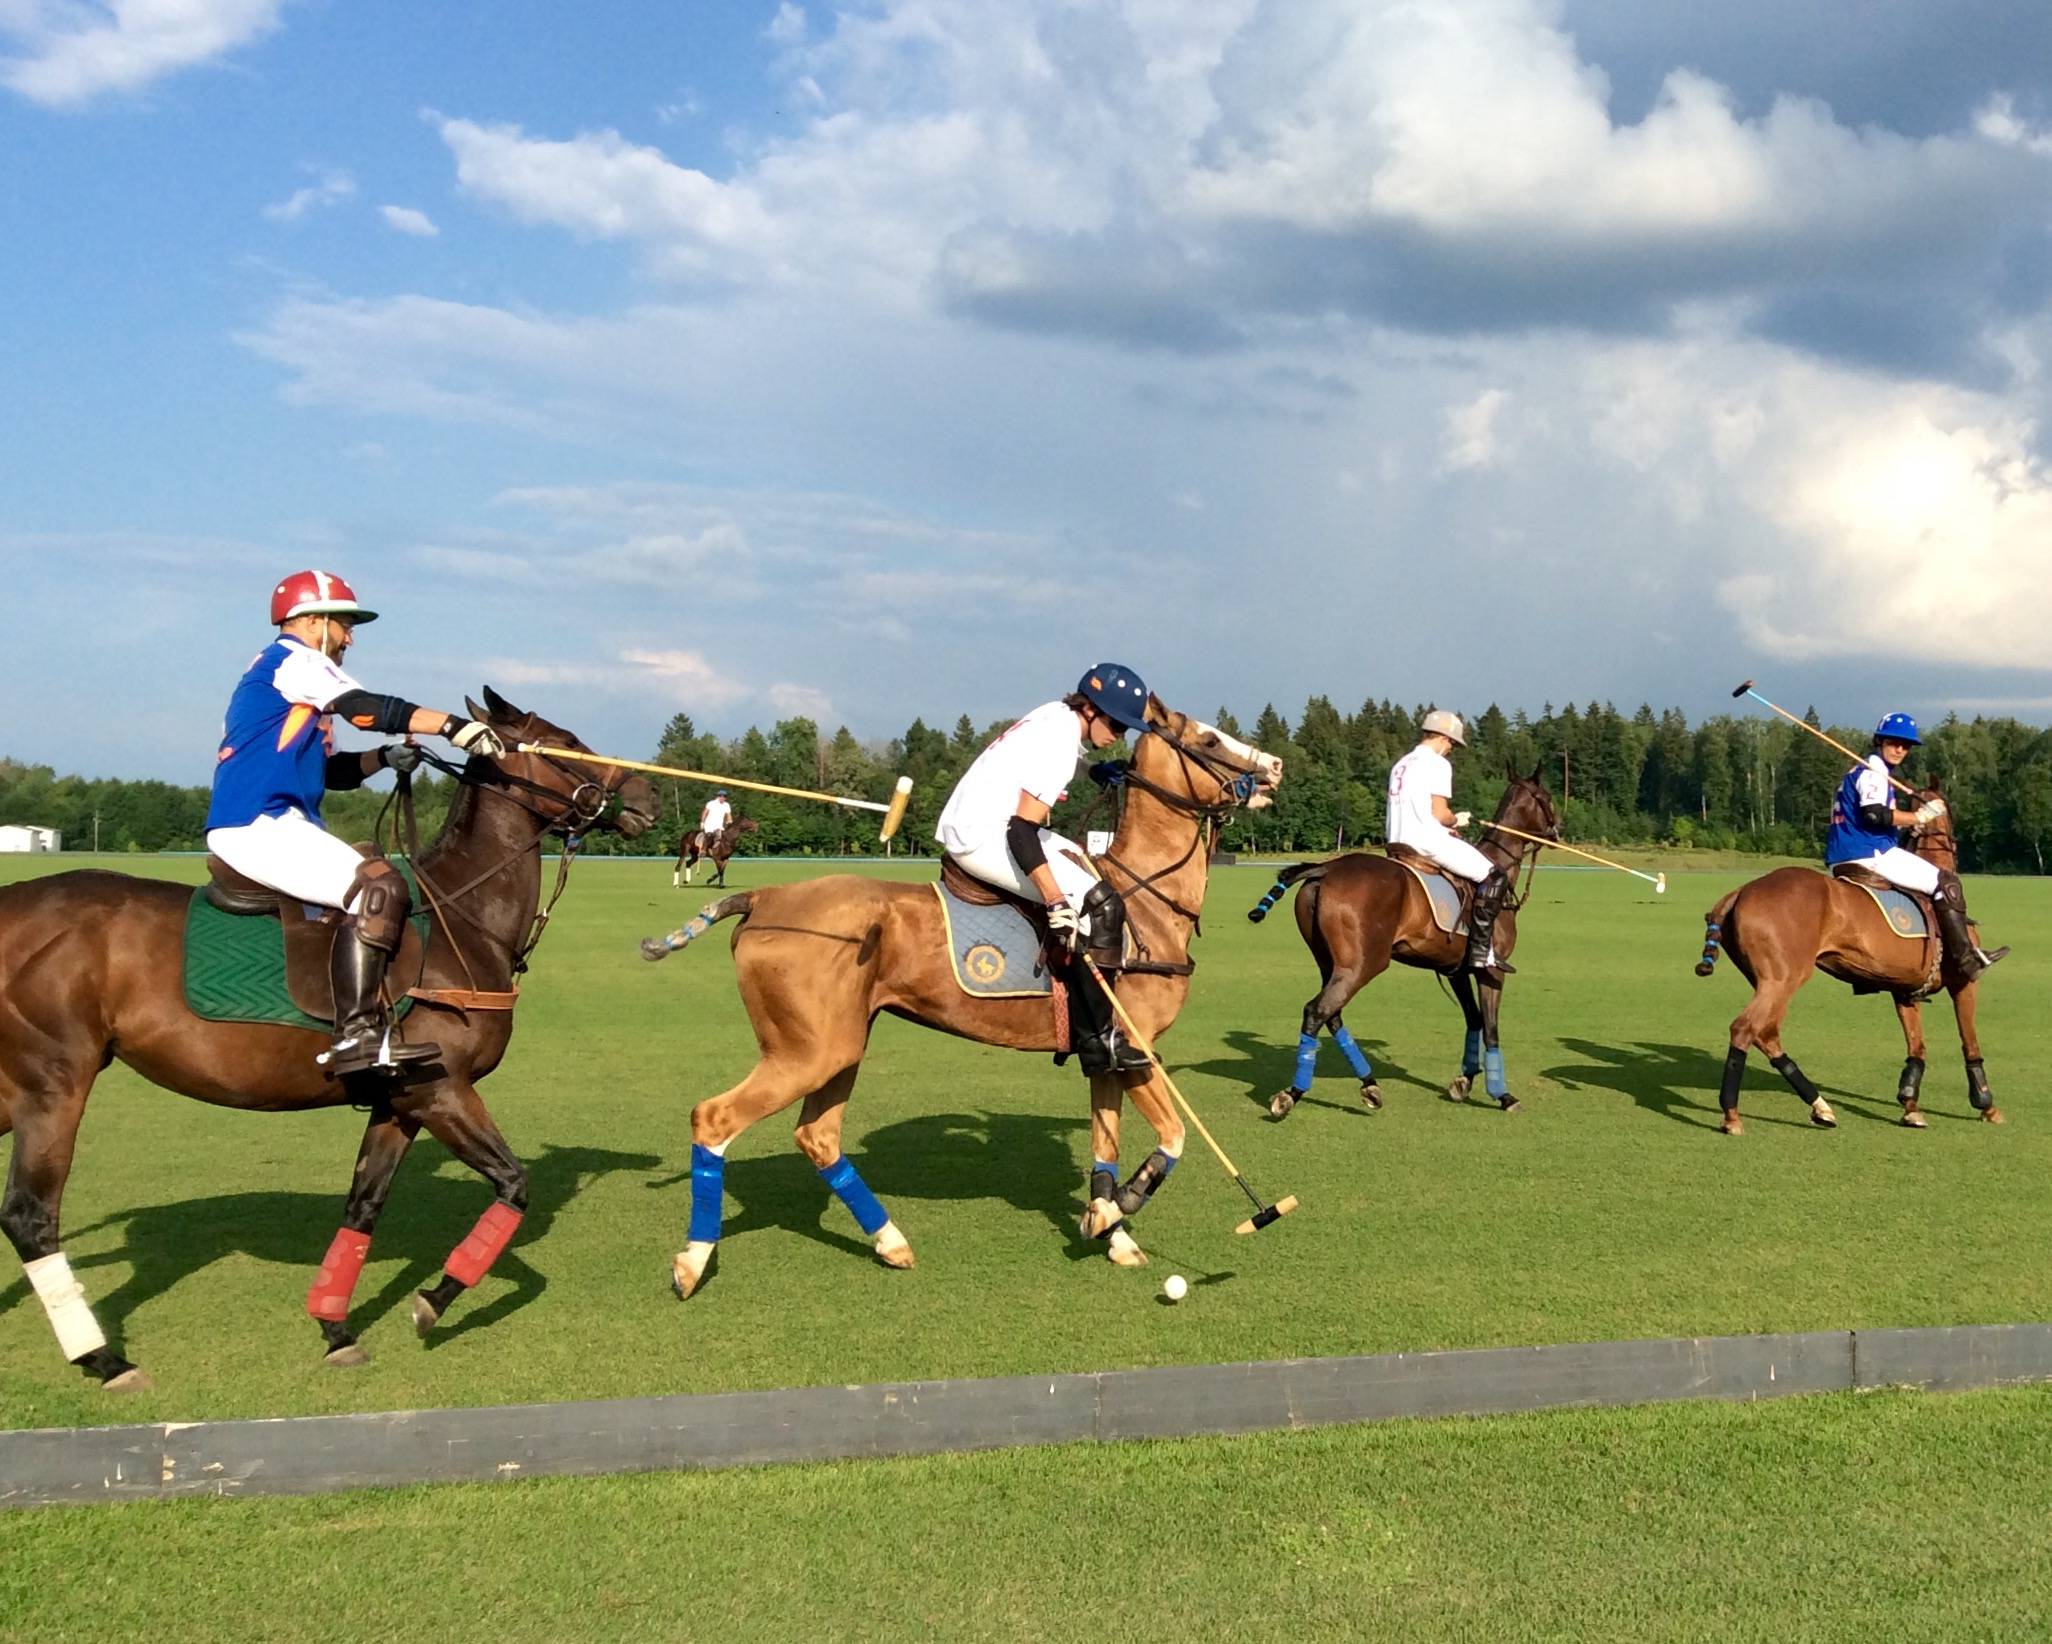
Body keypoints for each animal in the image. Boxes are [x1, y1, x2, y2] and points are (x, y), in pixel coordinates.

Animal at [0, 689, 656, 1387]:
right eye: (568, 745)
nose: (646, 796)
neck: (461, 916)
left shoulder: (400, 1100)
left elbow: (363, 1205)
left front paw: (335, 1327)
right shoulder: (441, 1090)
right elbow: (513, 1186)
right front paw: (431, 1300)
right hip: (54, 1082)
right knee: (29, 1216)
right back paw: (103, 1358)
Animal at [644, 697, 1280, 1288]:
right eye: (1207, 738)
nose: (1274, 767)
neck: (1144, 901)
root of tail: (763, 897)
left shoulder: (1107, 1052)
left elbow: (1106, 1143)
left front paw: (1108, 1227)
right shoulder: (1137, 1044)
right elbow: (1175, 1136)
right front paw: (1120, 1210)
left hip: (838, 1046)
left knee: (817, 1135)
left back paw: (890, 1242)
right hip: (805, 1051)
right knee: (714, 1118)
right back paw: (692, 1262)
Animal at [1239, 767, 1559, 1116]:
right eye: (1548, 798)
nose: (1558, 830)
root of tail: (1325, 868)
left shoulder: (1456, 970)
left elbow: (1473, 1020)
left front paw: (1464, 1081)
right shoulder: (1491, 970)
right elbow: (1490, 1028)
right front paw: (1503, 1095)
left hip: (1329, 961)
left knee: (1332, 1013)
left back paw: (1369, 1085)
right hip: (1364, 962)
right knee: (1317, 1010)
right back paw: (1293, 1094)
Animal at [1699, 775, 2002, 1132]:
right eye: (1950, 808)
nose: (1956, 841)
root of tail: (1739, 891)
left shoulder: (1905, 990)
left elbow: (1917, 1047)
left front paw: (1910, 1106)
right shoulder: (1964, 984)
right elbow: (1970, 1040)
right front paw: (1986, 1104)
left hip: (1767, 980)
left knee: (1767, 1033)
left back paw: (1820, 1107)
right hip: (1782, 978)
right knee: (1745, 1029)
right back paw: (1732, 1114)